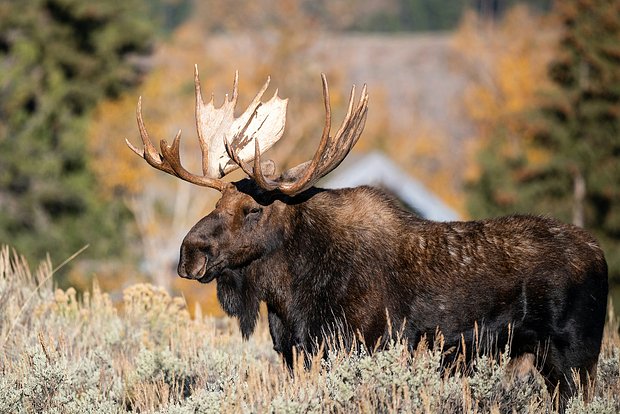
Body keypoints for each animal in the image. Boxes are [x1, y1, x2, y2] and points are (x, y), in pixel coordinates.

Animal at [126, 67, 604, 408]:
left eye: (253, 209)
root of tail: (600, 255)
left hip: (576, 355)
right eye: (216, 203)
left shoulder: (363, 345)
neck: (290, 296)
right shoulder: (293, 352)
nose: (189, 253)